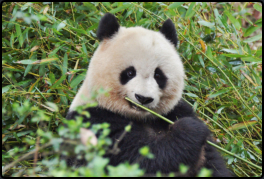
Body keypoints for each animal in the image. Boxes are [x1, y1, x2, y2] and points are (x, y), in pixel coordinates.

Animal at [66, 13, 231, 177]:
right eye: (130, 72)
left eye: (158, 75)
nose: (143, 98)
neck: (141, 117)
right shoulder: (96, 121)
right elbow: (144, 157)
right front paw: (190, 129)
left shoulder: (175, 110)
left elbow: (211, 162)